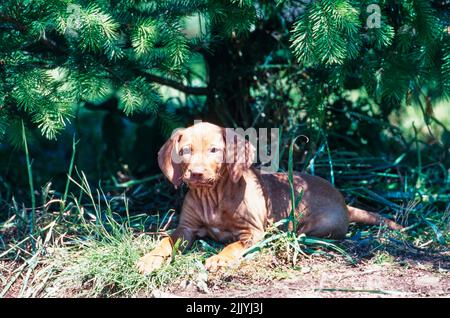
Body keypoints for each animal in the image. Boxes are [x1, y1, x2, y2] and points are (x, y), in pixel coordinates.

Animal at [136, 121, 400, 274]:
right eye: (185, 150)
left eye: (214, 150)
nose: (197, 173)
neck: (212, 197)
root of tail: (345, 204)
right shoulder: (186, 229)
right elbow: (165, 241)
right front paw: (149, 260)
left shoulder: (252, 232)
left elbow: (233, 245)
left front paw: (220, 259)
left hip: (318, 227)